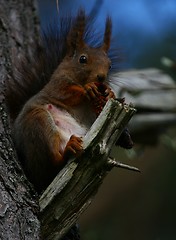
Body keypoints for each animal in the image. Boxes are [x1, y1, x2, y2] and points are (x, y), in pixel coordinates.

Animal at [5, 9, 132, 193]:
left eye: (109, 65)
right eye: (82, 59)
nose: (101, 78)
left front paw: (109, 93)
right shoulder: (56, 86)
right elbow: (67, 93)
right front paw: (88, 89)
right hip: (38, 122)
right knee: (52, 165)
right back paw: (68, 150)